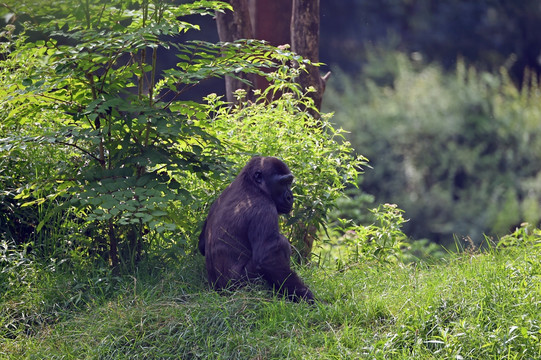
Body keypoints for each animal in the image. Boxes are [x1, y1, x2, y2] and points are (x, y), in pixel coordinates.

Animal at [200, 156, 314, 302]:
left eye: (289, 182)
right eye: (282, 183)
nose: (290, 196)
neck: (252, 185)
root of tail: (219, 291)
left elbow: (202, 244)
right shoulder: (264, 208)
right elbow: (268, 258)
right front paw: (305, 296)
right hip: (240, 286)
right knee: (281, 243)